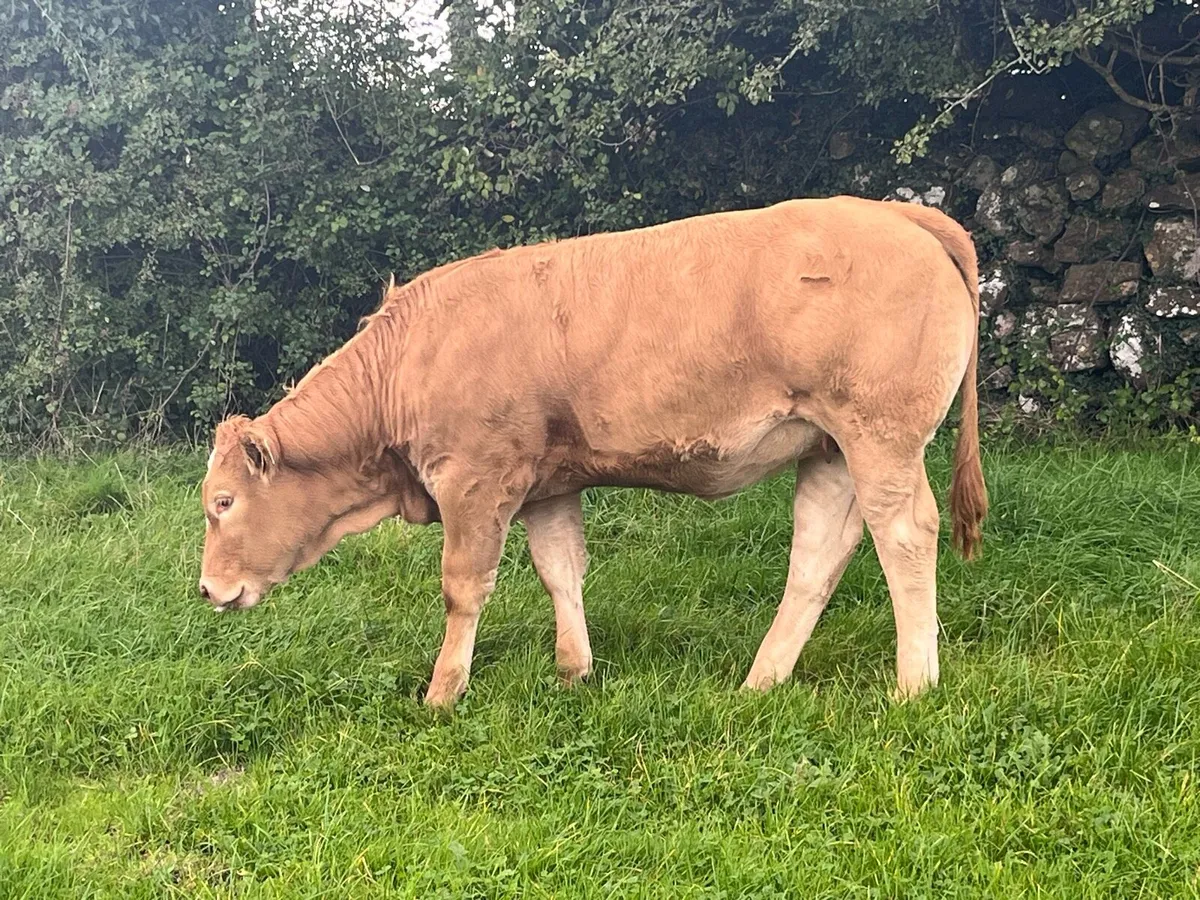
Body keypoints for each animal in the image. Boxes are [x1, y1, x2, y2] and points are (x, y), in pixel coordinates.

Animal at [199, 196, 987, 709]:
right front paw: (574, 670)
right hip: (829, 449)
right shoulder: (549, 484)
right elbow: (561, 571)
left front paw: (443, 693)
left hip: (880, 436)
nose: (207, 589)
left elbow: (463, 586)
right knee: (818, 557)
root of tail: (894, 212)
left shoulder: (476, 479)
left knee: (905, 534)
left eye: (223, 502)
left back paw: (914, 685)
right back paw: (760, 682)